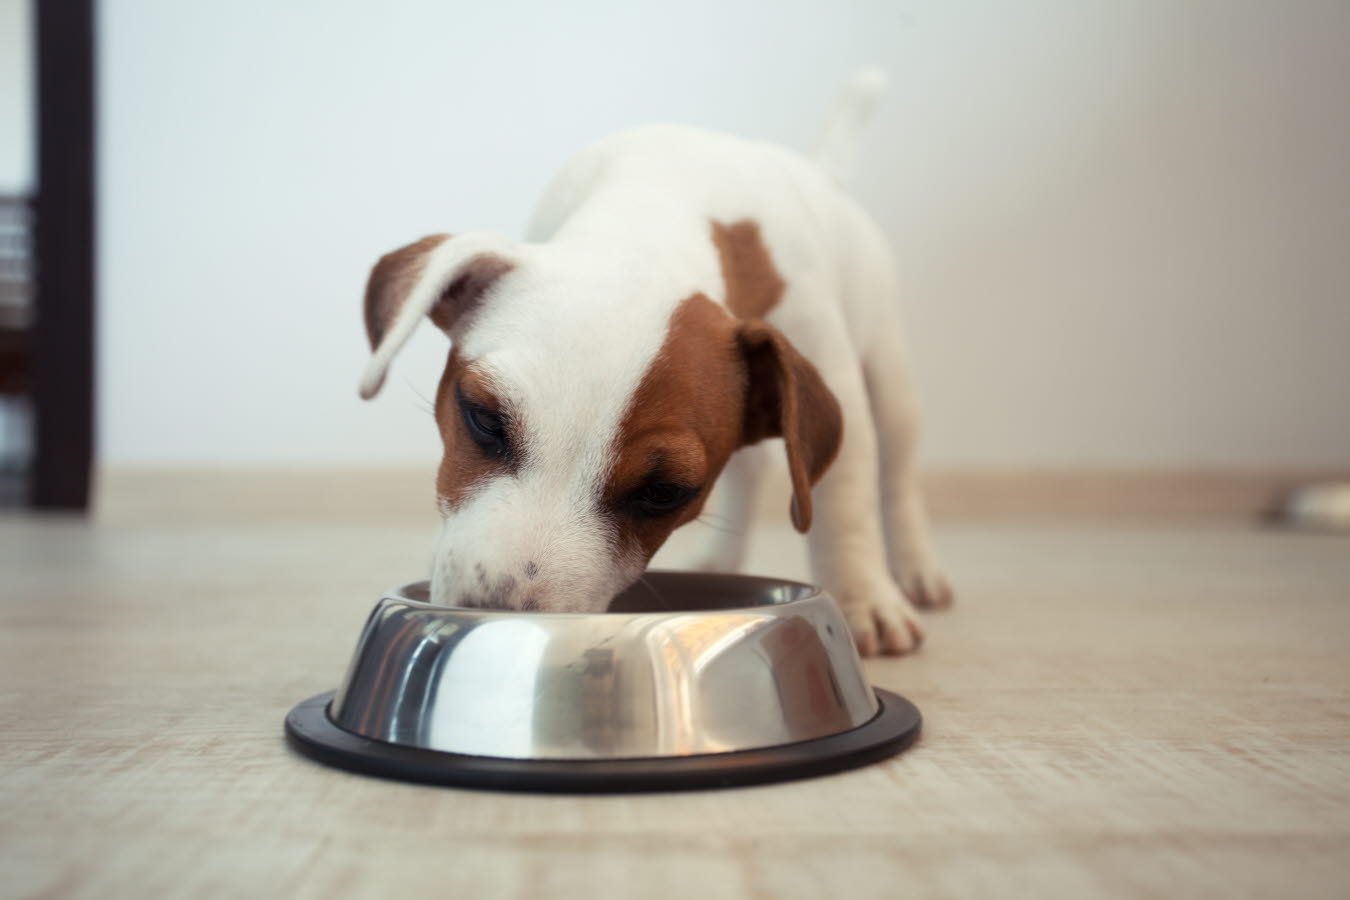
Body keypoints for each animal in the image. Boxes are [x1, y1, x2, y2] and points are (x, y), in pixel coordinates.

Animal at [356, 70, 950, 658]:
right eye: (483, 419)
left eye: (664, 492)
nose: (498, 616)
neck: (654, 206)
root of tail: (821, 171)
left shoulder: (832, 368)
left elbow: (845, 505)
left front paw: (863, 597)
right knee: (751, 469)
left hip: (889, 380)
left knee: (896, 479)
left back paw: (915, 570)